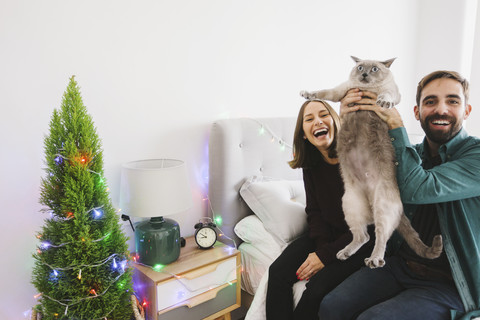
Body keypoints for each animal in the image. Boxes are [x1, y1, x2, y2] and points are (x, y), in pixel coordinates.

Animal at [300, 55, 442, 268]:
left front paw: (382, 101)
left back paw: (374, 260)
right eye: (360, 67)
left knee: (380, 237)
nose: (365, 74)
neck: (365, 89)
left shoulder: (393, 92)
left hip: (382, 206)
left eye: (374, 69)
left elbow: (386, 95)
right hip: (350, 205)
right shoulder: (341, 91)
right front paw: (306, 93)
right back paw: (344, 253)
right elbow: (323, 92)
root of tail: (369, 198)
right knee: (363, 236)